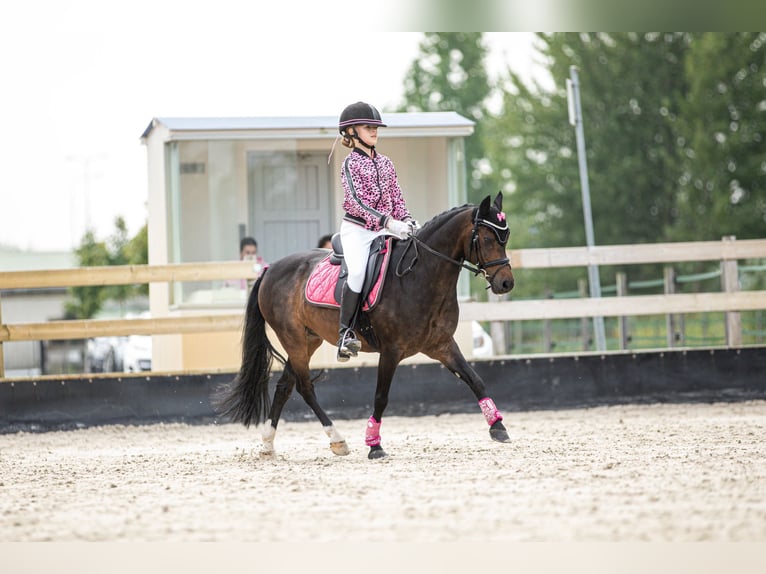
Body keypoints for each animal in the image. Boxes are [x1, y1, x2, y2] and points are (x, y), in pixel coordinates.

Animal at [218, 192, 516, 460]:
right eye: (487, 239)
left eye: (506, 237)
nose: (506, 283)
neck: (419, 276)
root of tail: (270, 269)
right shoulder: (392, 351)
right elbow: (381, 397)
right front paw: (374, 445)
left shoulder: (442, 345)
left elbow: (475, 380)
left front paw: (498, 427)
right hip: (293, 339)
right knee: (304, 387)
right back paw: (337, 440)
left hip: (307, 340)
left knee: (284, 387)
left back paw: (268, 445)